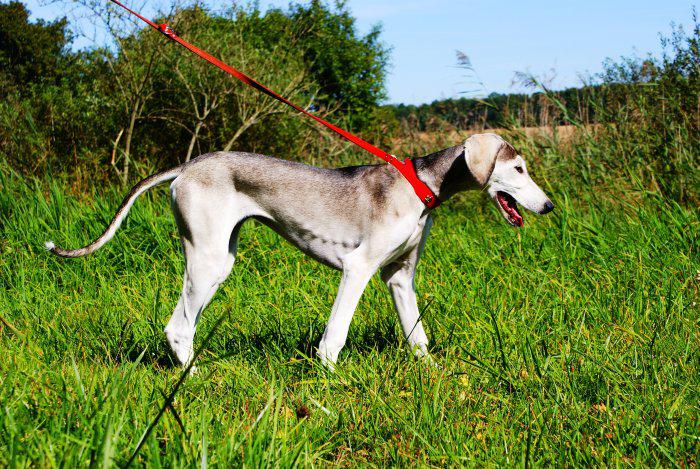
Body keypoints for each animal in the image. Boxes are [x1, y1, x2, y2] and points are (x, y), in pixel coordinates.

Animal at [46, 133, 556, 370]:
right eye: (518, 169)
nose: (549, 206)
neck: (421, 186)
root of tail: (187, 166)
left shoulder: (399, 278)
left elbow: (418, 337)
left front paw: (431, 374)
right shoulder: (357, 268)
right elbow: (335, 336)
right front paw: (328, 381)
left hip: (220, 258)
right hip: (207, 261)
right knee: (177, 327)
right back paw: (195, 377)